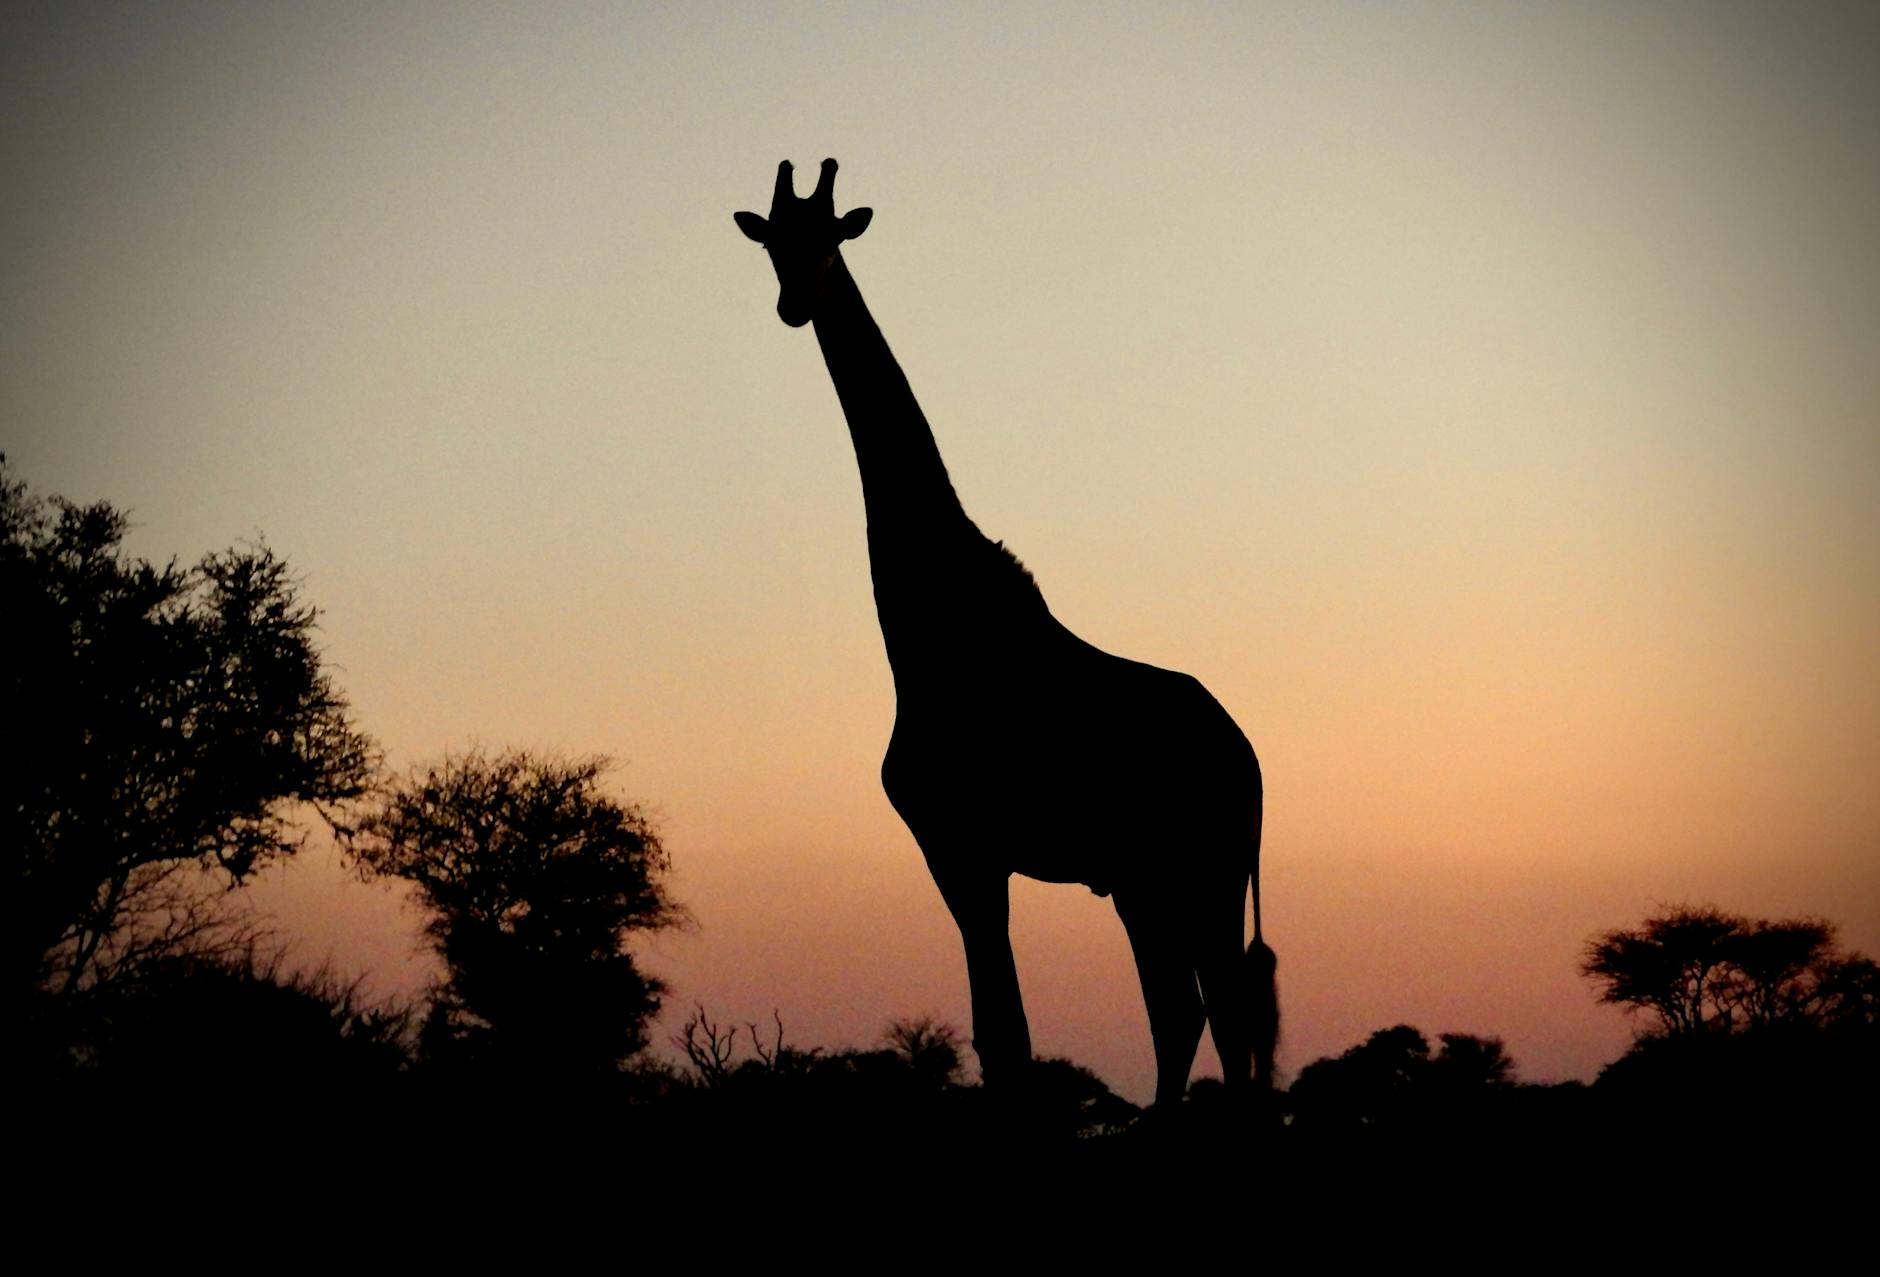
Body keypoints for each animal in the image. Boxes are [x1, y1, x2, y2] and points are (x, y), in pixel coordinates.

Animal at [735, 159, 1276, 1107]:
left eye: (831, 240)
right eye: (772, 243)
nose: (795, 304)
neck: (933, 621)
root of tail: (1250, 761)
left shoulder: (964, 844)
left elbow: (1007, 1036)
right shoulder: (960, 848)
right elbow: (1001, 1036)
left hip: (1201, 872)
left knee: (1219, 1014)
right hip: (1146, 879)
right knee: (1187, 1013)